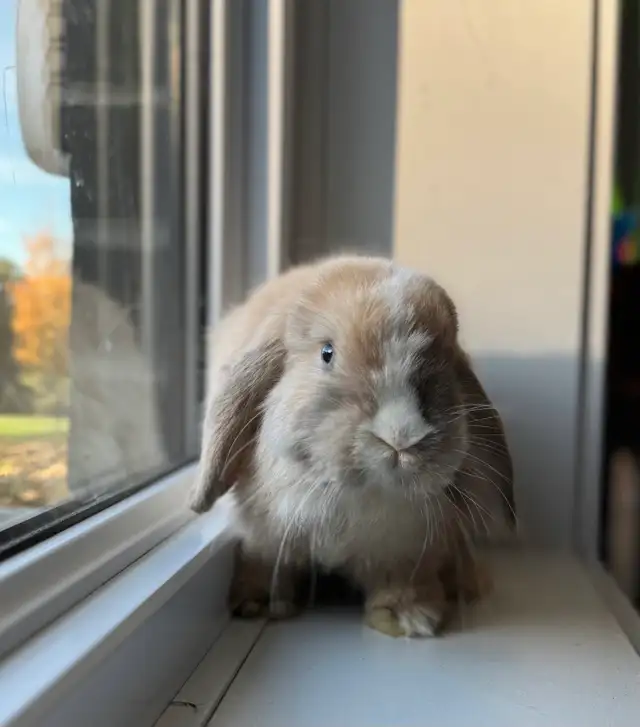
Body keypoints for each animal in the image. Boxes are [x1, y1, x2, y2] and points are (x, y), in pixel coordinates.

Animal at [189, 254, 515, 637]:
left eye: (445, 361)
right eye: (327, 353)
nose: (401, 435)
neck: (351, 494)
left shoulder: (407, 549)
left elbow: (403, 582)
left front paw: (408, 619)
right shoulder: (264, 530)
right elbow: (264, 558)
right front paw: (260, 603)